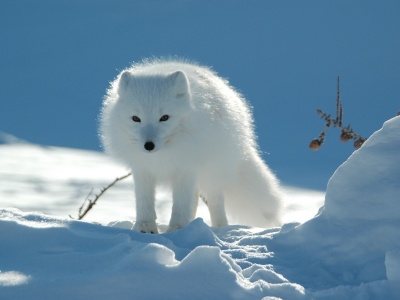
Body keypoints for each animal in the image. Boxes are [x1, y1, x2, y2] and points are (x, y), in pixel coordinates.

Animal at [100, 58, 282, 232]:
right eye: (136, 118)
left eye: (164, 117)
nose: (148, 145)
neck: (162, 156)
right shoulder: (142, 169)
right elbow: (144, 201)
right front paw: (145, 228)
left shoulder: (186, 168)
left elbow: (180, 205)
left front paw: (177, 230)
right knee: (194, 200)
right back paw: (193, 224)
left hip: (212, 171)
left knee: (215, 201)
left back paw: (219, 228)